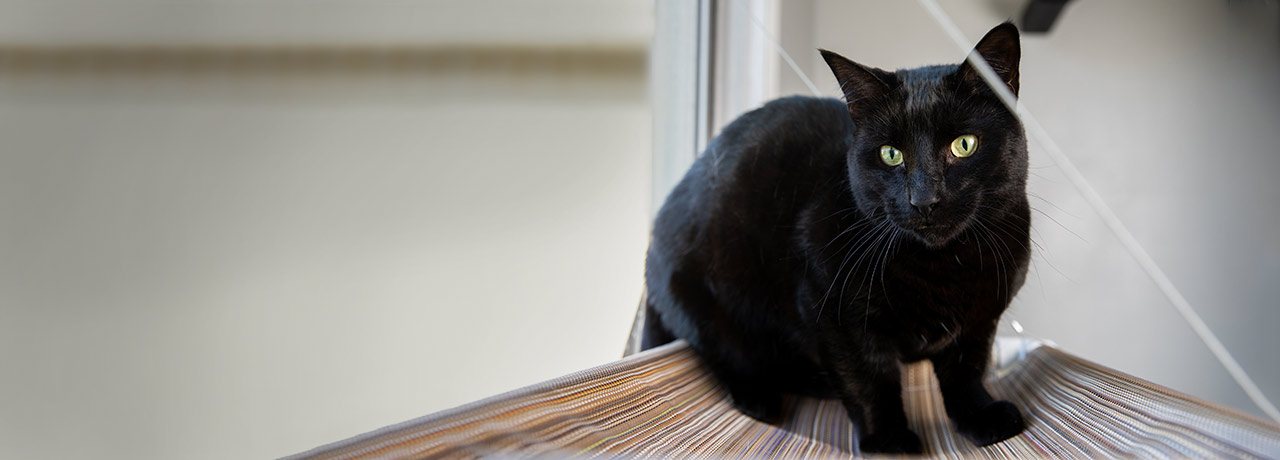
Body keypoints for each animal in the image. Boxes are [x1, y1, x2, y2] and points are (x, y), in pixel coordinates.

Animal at [640, 22, 1029, 453]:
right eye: (891, 154)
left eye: (964, 145)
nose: (924, 199)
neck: (945, 267)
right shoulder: (834, 312)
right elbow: (868, 380)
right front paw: (889, 440)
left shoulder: (980, 323)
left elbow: (966, 373)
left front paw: (981, 415)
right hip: (708, 293)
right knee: (727, 352)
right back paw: (761, 398)